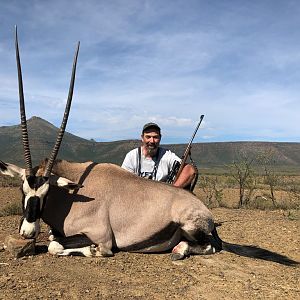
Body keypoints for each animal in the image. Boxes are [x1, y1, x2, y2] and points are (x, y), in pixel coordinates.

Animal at [0, 29, 298, 264]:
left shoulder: (101, 235)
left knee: (213, 246)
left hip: (191, 226)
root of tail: (206, 212)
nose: (27, 232)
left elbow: (56, 245)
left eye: (46, 192)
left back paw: (180, 251)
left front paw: (91, 252)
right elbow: (52, 237)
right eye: (22, 189)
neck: (74, 192)